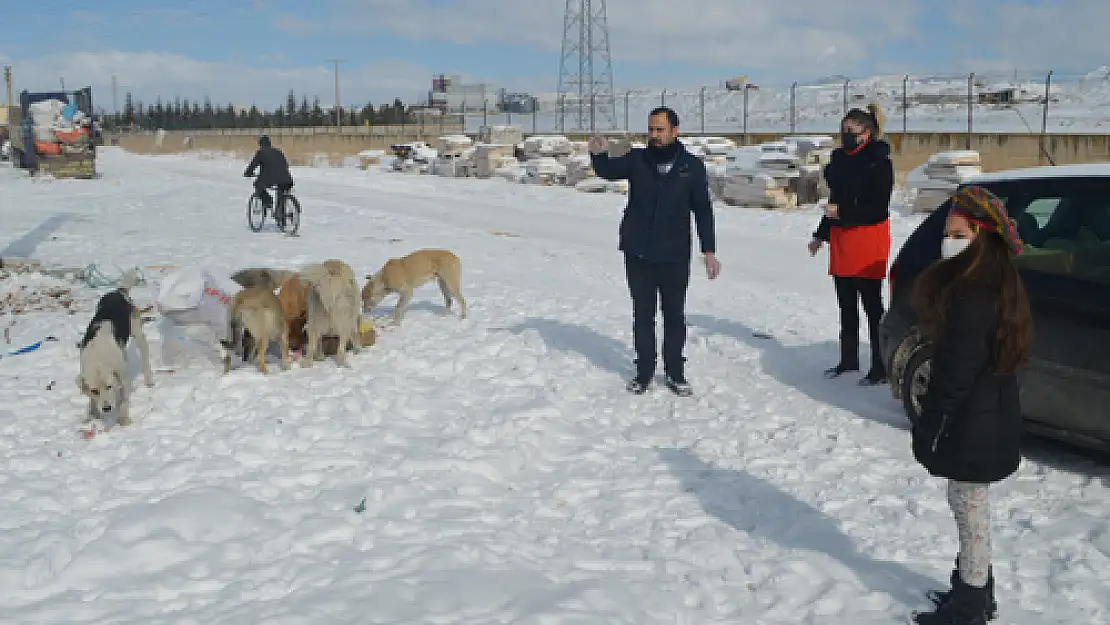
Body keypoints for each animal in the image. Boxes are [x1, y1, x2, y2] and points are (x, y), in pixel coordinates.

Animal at [76, 268, 154, 426]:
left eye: (109, 386)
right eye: (94, 391)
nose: (106, 408)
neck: (99, 357)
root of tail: (119, 291)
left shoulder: (123, 379)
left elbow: (124, 399)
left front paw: (123, 418)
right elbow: (91, 399)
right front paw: (93, 415)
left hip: (137, 331)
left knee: (144, 353)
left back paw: (148, 379)